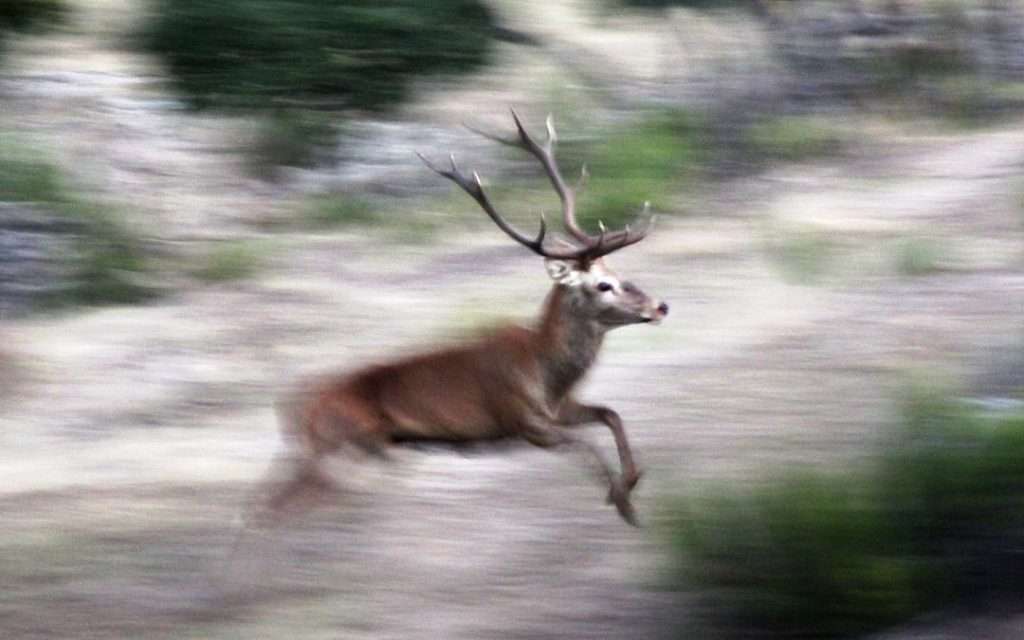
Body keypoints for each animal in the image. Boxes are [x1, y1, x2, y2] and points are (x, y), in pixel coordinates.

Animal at [260, 111, 667, 528]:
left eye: (619, 273)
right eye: (603, 285)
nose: (660, 306)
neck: (545, 373)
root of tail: (288, 407)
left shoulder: (561, 408)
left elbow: (611, 414)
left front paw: (631, 487)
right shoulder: (521, 421)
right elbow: (588, 443)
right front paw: (621, 501)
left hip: (322, 450)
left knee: (265, 498)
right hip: (346, 442)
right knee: (280, 504)